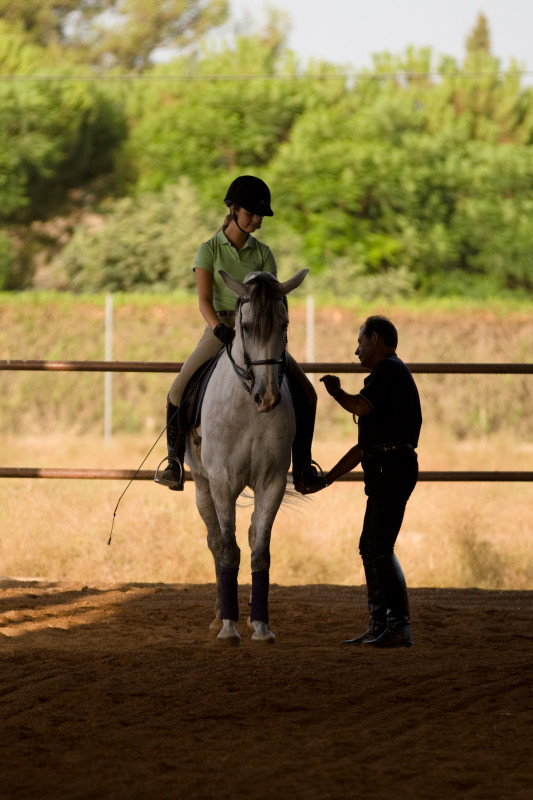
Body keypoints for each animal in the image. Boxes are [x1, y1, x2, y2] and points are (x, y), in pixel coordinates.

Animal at [186, 268, 308, 644]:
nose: (266, 397)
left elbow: (260, 551)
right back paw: (217, 617)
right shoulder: (222, 482)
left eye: (284, 324)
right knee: (214, 541)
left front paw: (262, 626)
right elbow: (228, 549)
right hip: (202, 485)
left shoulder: (272, 482)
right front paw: (228, 627)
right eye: (246, 326)